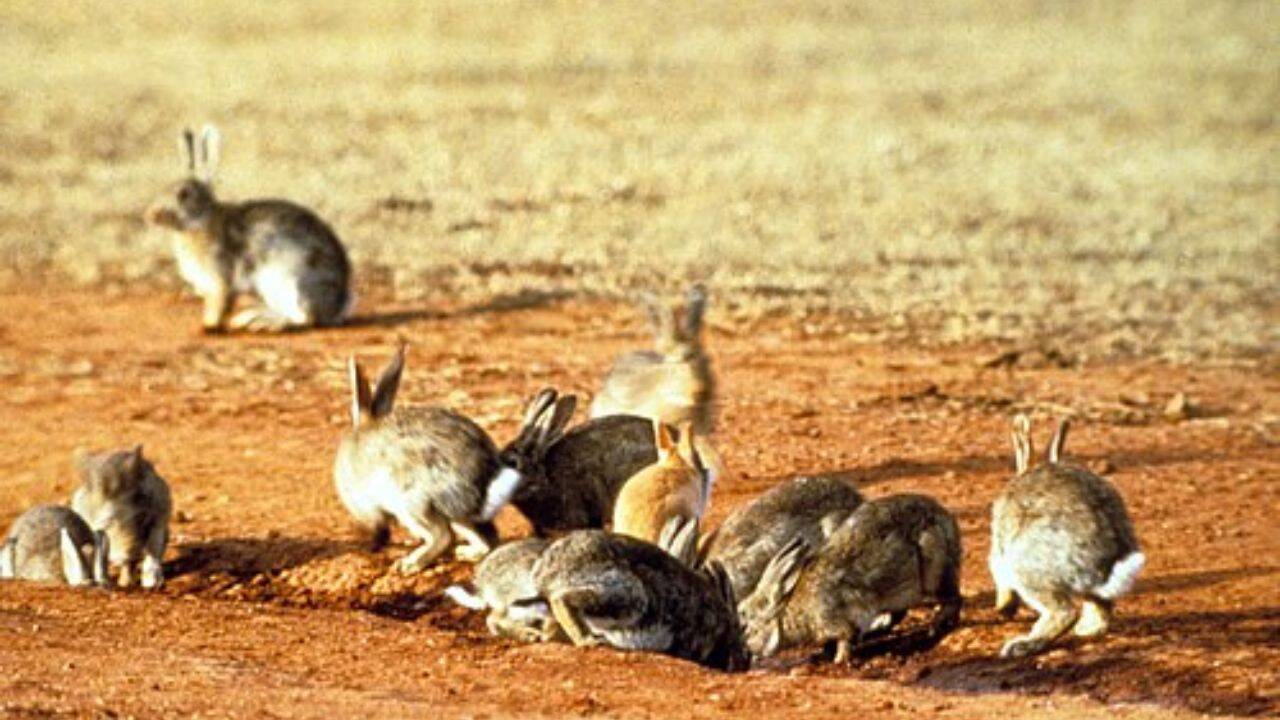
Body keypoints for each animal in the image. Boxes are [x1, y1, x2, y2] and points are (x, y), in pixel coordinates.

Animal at [144, 125, 352, 333]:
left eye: (183, 194)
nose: (152, 213)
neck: (200, 219)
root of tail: (338, 306)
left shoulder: (219, 277)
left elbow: (218, 303)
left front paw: (208, 326)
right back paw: (249, 318)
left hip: (290, 281)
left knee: (304, 319)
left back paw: (263, 323)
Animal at [334, 345, 522, 572]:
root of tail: (484, 482)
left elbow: (379, 526)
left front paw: (375, 544)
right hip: (455, 514)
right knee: (488, 540)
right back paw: (465, 553)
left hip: (411, 502)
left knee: (443, 536)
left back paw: (410, 564)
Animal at [532, 529, 750, 671]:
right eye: (743, 634)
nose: (745, 662)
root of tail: (546, 568)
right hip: (630, 595)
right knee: (563, 600)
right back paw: (589, 640)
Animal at [738, 493, 962, 664]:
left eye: (747, 629)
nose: (745, 656)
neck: (788, 610)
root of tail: (948, 521)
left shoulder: (837, 618)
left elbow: (845, 638)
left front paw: (839, 661)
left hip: (933, 571)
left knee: (953, 599)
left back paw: (935, 627)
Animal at [990, 415, 1145, 658]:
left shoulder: (999, 553)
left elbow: (1000, 578)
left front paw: (1004, 607)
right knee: (1101, 608)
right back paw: (1086, 630)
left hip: (1027, 565)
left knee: (1064, 612)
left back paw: (1021, 645)